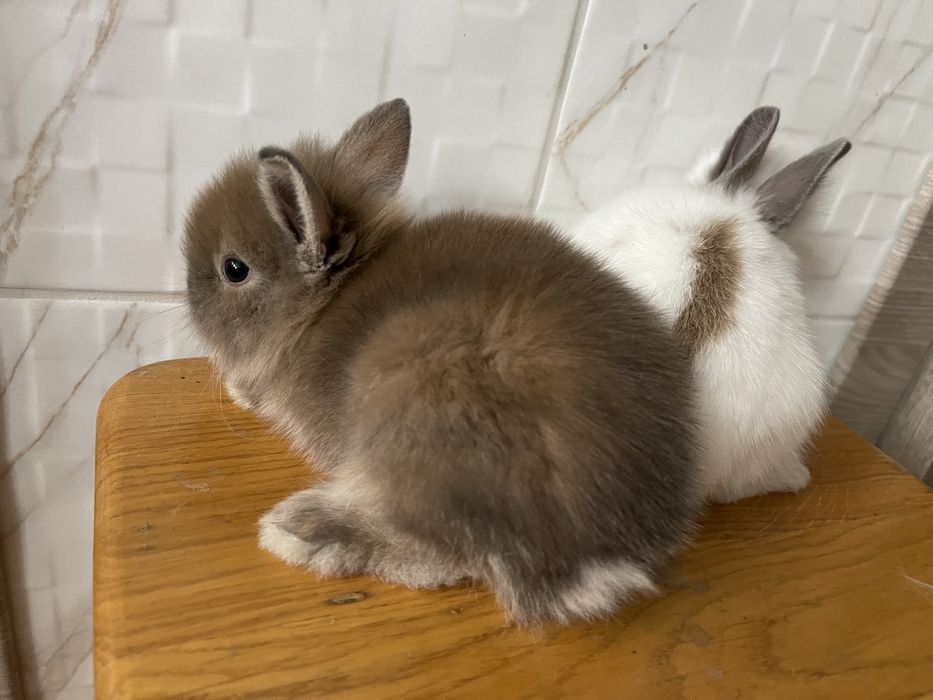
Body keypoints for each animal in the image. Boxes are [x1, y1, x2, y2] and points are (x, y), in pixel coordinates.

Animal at [182, 98, 703, 625]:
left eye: (234, 269)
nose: (186, 300)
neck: (325, 302)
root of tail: (593, 556)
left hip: (414, 410)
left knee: (445, 552)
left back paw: (305, 532)